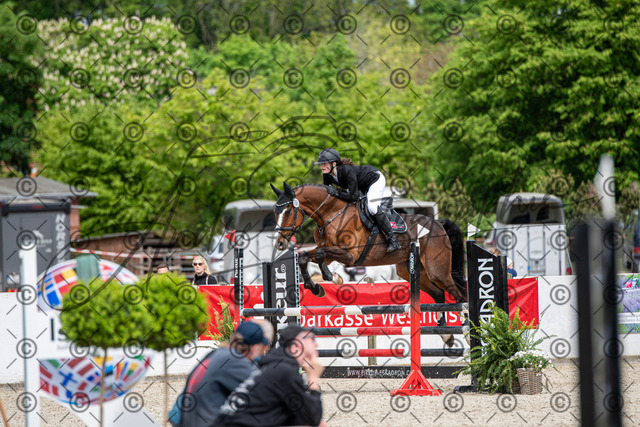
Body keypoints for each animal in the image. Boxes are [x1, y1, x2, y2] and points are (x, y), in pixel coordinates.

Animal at [271, 182, 468, 346]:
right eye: (275, 212)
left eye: (287, 211)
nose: (279, 243)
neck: (332, 215)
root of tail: (438, 224)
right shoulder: (329, 254)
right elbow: (305, 257)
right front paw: (317, 287)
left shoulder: (349, 256)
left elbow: (319, 255)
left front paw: (332, 277)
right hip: (410, 271)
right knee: (439, 294)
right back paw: (446, 335)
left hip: (437, 271)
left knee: (459, 296)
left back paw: (468, 331)